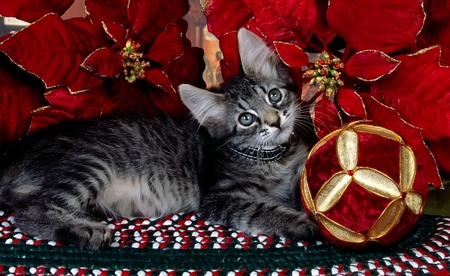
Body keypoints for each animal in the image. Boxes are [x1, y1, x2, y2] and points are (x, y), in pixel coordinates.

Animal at [0, 28, 320, 250]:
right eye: (246, 119)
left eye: (274, 95)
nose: (275, 121)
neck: (273, 157)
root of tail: (19, 152)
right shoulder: (221, 197)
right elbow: (263, 208)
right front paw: (303, 223)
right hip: (89, 165)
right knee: (30, 212)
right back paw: (84, 230)